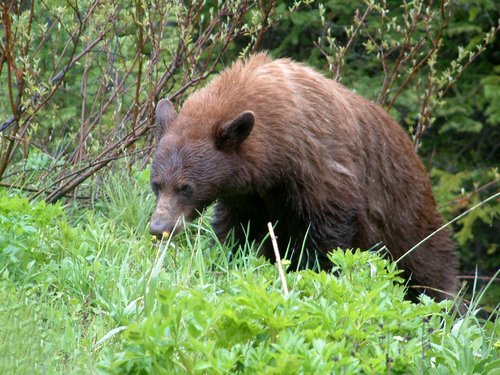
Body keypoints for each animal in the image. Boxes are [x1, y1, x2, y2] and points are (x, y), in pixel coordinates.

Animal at [150, 53, 458, 304]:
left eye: (185, 187)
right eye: (156, 185)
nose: (159, 227)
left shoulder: (322, 171)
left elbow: (327, 236)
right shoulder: (246, 194)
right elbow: (234, 231)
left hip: (408, 218)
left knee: (430, 269)